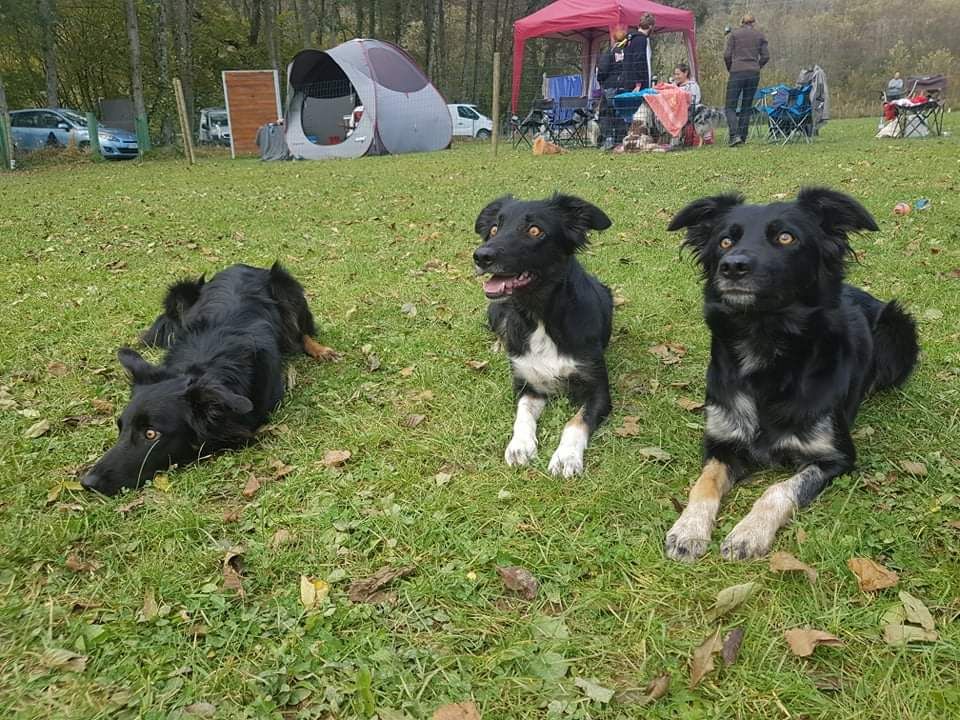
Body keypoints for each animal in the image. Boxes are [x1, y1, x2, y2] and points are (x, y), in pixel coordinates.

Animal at [81, 262, 342, 496]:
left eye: (151, 434)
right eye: (120, 427)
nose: (87, 482)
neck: (207, 364)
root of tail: (241, 266)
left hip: (286, 286)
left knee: (302, 332)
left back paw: (320, 349)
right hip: (180, 293)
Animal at [472, 193, 616, 478]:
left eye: (534, 230)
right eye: (493, 229)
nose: (481, 256)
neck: (540, 317)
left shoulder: (599, 391)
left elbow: (576, 422)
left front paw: (566, 457)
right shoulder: (528, 386)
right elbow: (522, 415)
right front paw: (519, 446)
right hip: (497, 309)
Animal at [664, 188, 920, 560]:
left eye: (786, 237)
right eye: (725, 241)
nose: (733, 266)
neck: (764, 343)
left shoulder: (835, 458)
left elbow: (779, 489)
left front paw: (748, 533)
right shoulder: (721, 442)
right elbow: (704, 484)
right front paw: (688, 529)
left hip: (898, 325)